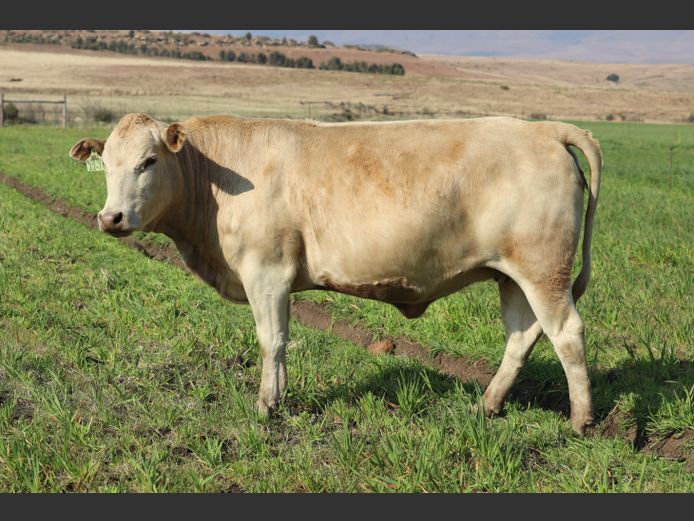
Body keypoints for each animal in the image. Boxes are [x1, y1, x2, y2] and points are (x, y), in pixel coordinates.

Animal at [69, 113, 602, 434]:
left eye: (148, 161)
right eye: (106, 164)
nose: (111, 218)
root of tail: (542, 130)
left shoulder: (266, 272)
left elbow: (272, 340)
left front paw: (266, 405)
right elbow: (280, 341)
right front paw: (279, 398)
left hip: (543, 270)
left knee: (567, 334)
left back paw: (580, 420)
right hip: (512, 276)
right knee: (522, 336)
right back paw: (487, 405)